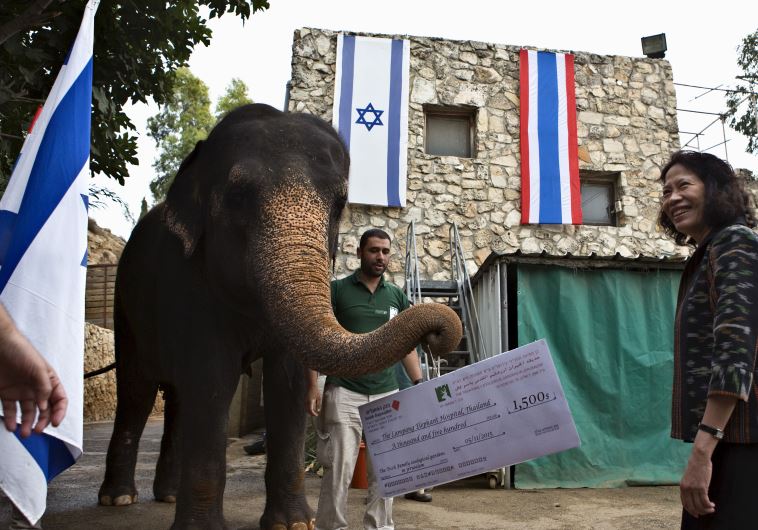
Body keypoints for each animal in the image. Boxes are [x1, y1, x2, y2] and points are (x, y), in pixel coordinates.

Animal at [97, 103, 463, 530]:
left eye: (340, 204)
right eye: (238, 196)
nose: (438, 334)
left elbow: (288, 382)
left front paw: (293, 524)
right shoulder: (191, 284)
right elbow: (211, 380)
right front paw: (203, 529)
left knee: (175, 398)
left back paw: (167, 494)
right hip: (126, 307)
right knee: (137, 390)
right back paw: (118, 498)